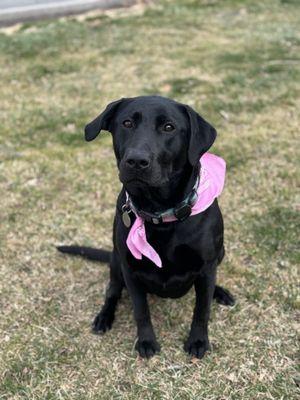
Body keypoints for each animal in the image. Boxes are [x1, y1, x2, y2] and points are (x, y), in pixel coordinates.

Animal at [56, 96, 234, 360]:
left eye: (169, 127)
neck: (159, 212)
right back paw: (104, 317)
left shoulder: (207, 265)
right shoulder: (131, 270)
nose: (137, 161)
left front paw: (198, 341)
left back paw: (219, 292)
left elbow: (202, 309)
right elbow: (141, 310)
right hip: (116, 262)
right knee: (112, 292)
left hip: (220, 254)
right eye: (127, 123)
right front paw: (146, 341)